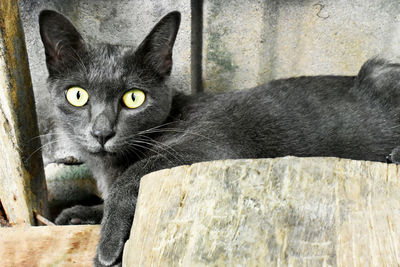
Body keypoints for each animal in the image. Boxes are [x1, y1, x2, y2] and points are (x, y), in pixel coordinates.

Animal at [39, 9, 400, 266]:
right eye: (77, 95)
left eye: (133, 98)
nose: (101, 132)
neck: (107, 167)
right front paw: (78, 214)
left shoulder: (211, 144)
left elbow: (134, 174)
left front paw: (107, 247)